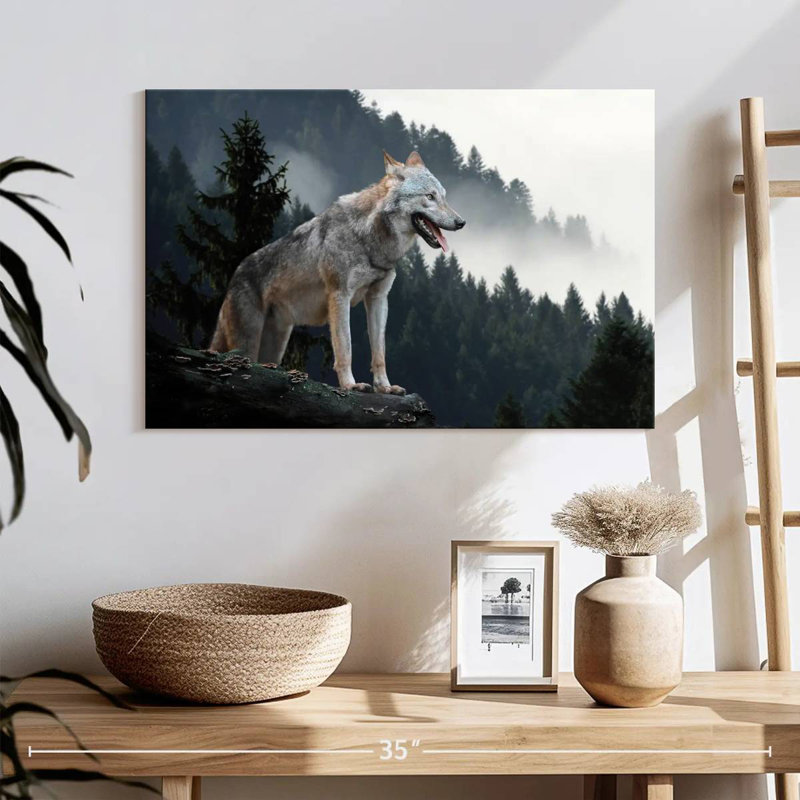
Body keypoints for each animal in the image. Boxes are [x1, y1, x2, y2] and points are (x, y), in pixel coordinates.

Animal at [210, 150, 465, 394]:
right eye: (429, 196)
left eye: (443, 196)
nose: (461, 222)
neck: (369, 239)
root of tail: (235, 275)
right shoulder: (340, 295)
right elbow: (345, 347)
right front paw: (350, 385)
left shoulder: (379, 299)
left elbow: (379, 352)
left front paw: (384, 387)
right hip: (247, 343)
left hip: (275, 346)